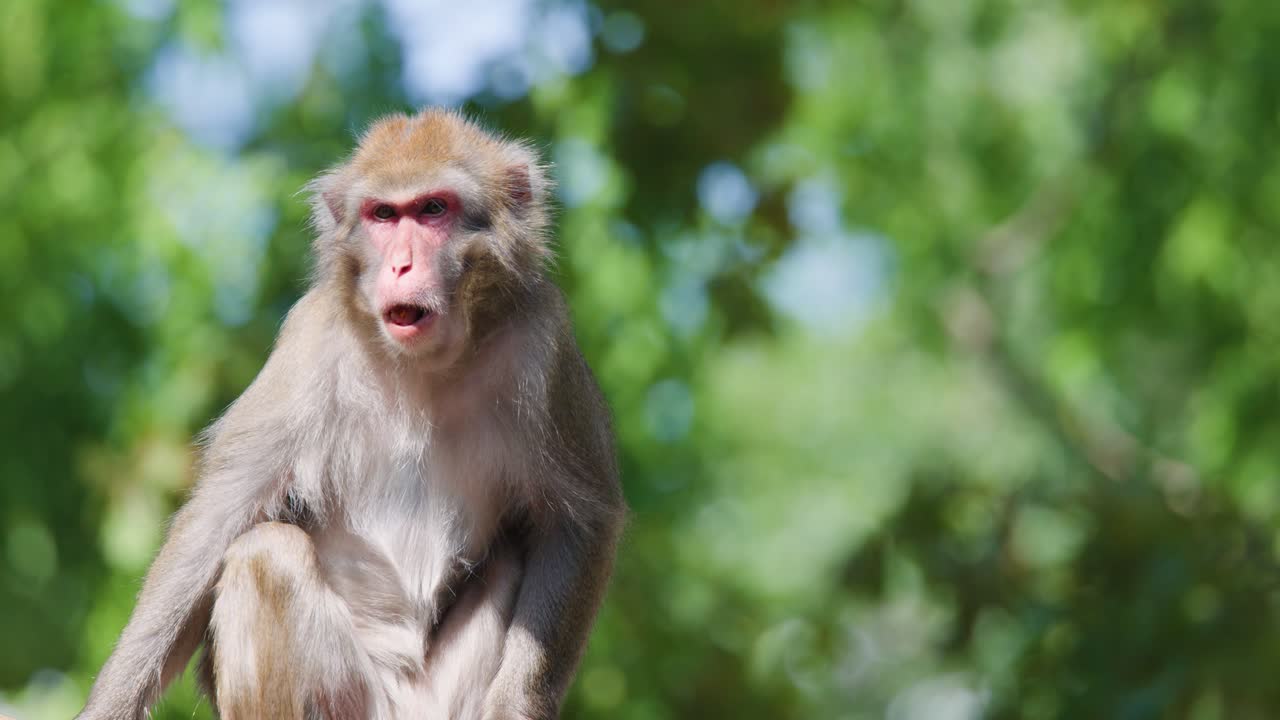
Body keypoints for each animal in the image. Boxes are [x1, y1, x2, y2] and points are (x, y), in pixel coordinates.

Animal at [77, 109, 626, 720]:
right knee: (266, 554)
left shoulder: (544, 342)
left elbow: (578, 521)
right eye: (383, 214)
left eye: (433, 209)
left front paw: (515, 704)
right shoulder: (308, 343)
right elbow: (216, 522)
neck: (422, 369)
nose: (401, 264)